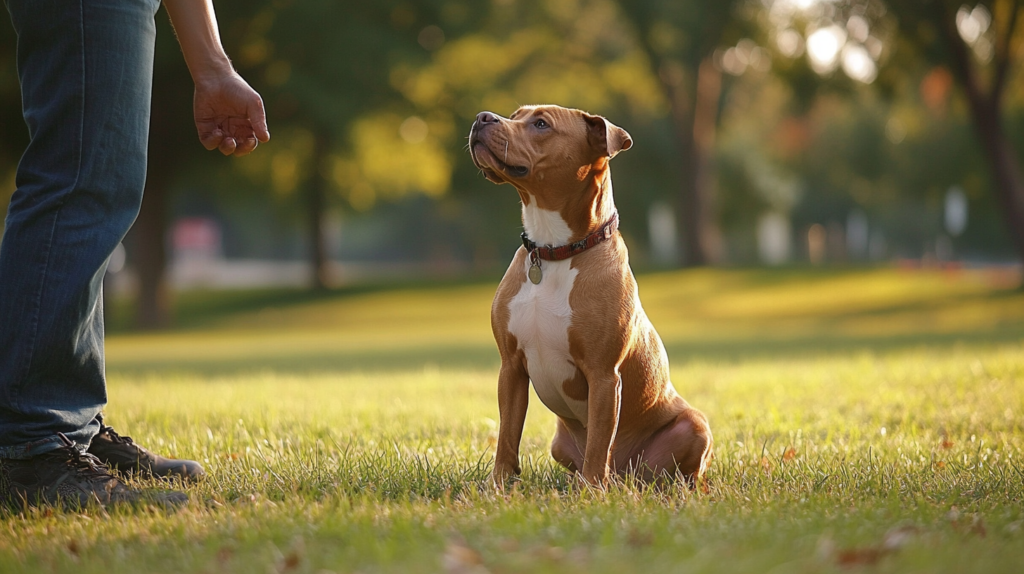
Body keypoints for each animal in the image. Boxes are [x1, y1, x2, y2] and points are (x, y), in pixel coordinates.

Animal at [466, 105, 712, 484]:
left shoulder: (603, 374)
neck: (553, 250)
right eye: (515, 114)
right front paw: (500, 485)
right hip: (558, 443)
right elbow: (507, 436)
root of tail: (624, 474)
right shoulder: (511, 367)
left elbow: (599, 440)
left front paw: (593, 490)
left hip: (695, 426)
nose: (482, 117)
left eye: (541, 124)